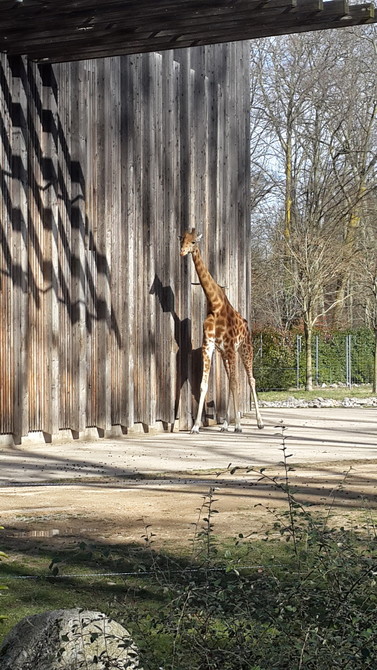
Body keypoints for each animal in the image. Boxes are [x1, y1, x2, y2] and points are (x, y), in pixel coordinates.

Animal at [178, 228, 262, 434]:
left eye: (193, 242)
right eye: (182, 239)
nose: (182, 252)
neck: (214, 305)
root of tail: (247, 325)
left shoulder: (230, 347)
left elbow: (235, 383)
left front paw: (238, 425)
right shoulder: (209, 346)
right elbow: (204, 384)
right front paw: (195, 426)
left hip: (244, 349)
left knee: (250, 380)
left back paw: (259, 422)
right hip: (225, 354)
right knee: (230, 381)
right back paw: (224, 425)